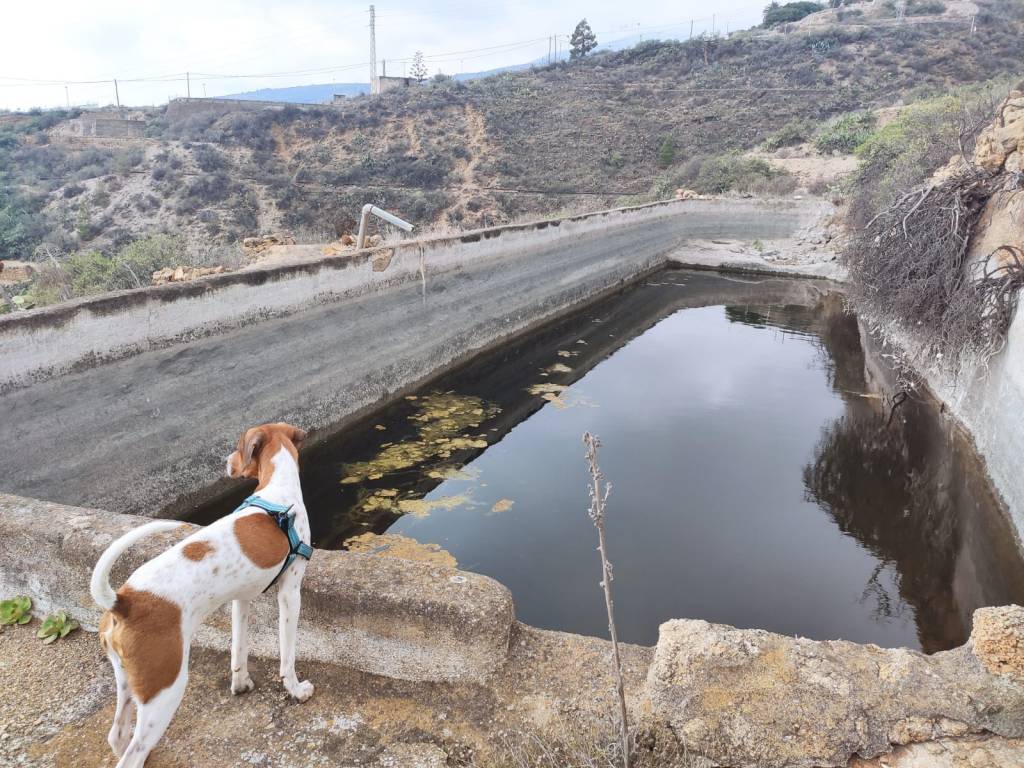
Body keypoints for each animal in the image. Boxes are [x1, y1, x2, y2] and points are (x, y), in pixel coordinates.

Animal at [89, 422, 313, 767]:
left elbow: (238, 650)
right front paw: (296, 690)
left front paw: (240, 685)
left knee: (117, 736)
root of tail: (124, 602)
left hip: (127, 681)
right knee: (131, 754)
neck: (278, 491)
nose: (225, 462)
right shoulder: (290, 593)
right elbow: (287, 656)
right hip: (165, 690)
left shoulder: (241, 599)